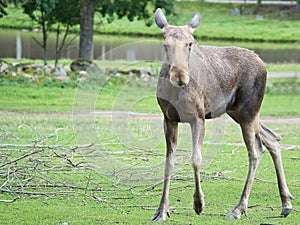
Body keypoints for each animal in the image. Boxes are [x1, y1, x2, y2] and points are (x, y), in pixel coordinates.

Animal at [152, 8, 292, 221]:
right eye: (165, 44)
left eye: (190, 44)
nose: (180, 77)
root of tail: (263, 64)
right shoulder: (169, 118)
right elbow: (169, 162)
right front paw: (161, 211)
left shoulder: (198, 116)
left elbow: (196, 158)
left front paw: (199, 204)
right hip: (238, 112)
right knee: (272, 138)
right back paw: (285, 203)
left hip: (249, 111)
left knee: (255, 152)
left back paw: (238, 209)